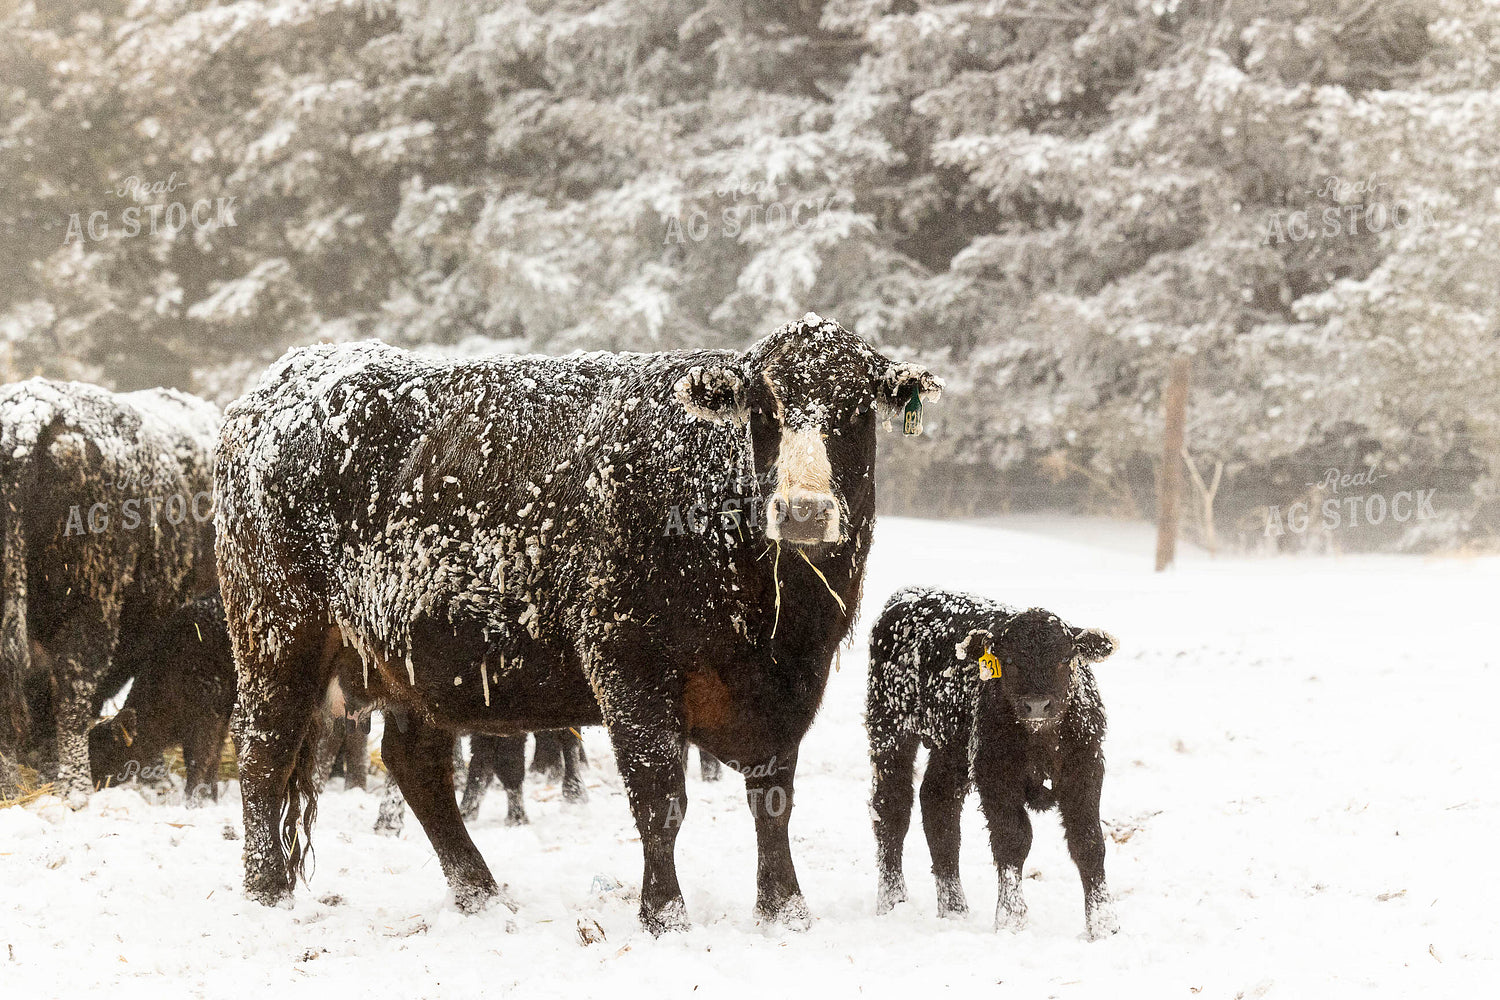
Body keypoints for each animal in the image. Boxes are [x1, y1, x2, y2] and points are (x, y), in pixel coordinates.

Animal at [89, 592, 236, 803]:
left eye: (107, 752)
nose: (96, 787)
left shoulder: (205, 720)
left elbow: (197, 761)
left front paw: (190, 801)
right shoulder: (221, 718)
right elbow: (213, 759)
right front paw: (211, 798)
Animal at [215, 313, 940, 932]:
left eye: (854, 410)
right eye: (764, 410)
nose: (803, 510)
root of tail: (289, 375)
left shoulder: (788, 688)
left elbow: (773, 800)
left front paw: (784, 910)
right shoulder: (628, 665)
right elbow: (659, 799)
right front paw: (665, 914)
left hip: (413, 658)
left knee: (415, 765)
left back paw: (480, 893)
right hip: (277, 636)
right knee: (263, 753)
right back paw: (265, 890)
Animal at [866, 587, 1119, 939]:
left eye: (1065, 658)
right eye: (1008, 660)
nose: (1037, 704)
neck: (1040, 738)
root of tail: (908, 595)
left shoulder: (1085, 768)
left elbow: (1088, 840)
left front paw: (1103, 925)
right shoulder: (995, 773)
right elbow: (1013, 839)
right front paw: (1012, 919)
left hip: (952, 750)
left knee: (938, 806)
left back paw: (954, 909)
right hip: (890, 731)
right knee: (892, 809)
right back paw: (893, 901)